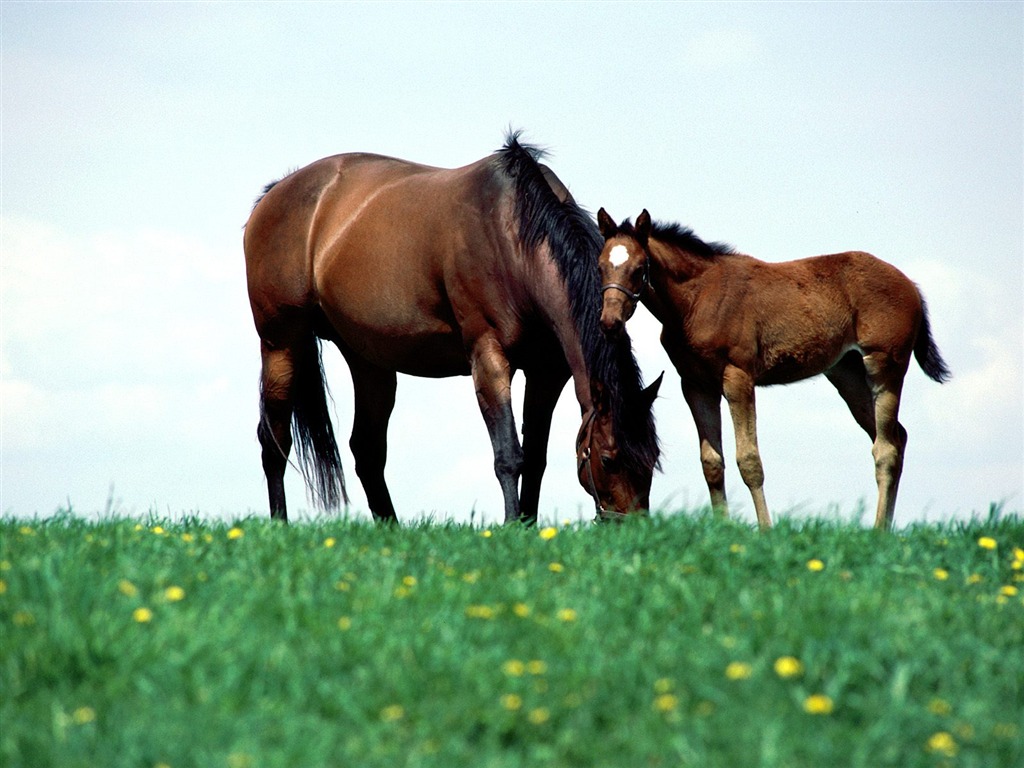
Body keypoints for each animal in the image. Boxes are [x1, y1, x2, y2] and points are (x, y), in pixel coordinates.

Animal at [239, 135, 659, 528]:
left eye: (653, 457)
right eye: (609, 458)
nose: (633, 527)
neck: (511, 235)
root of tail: (273, 195)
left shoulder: (547, 373)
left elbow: (536, 457)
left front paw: (528, 525)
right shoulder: (488, 358)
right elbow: (509, 454)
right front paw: (512, 526)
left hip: (369, 362)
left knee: (367, 450)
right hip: (281, 343)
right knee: (274, 439)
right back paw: (280, 524)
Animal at [598, 210, 946, 536]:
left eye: (639, 268)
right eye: (601, 267)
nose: (609, 322)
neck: (697, 300)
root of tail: (911, 285)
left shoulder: (738, 377)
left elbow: (749, 459)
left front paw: (766, 530)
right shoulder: (696, 384)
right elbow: (712, 462)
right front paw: (723, 530)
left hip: (885, 366)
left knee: (886, 448)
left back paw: (878, 532)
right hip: (847, 374)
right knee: (897, 436)